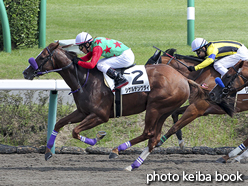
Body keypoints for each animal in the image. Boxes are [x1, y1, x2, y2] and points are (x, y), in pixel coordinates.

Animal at [22, 41, 207, 171]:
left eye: (42, 56)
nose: (26, 72)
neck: (85, 79)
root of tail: (184, 79)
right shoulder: (82, 112)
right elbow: (59, 123)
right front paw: (47, 152)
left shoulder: (100, 115)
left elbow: (75, 131)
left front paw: (97, 138)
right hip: (164, 111)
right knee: (153, 138)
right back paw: (133, 165)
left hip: (155, 107)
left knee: (148, 133)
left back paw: (117, 150)